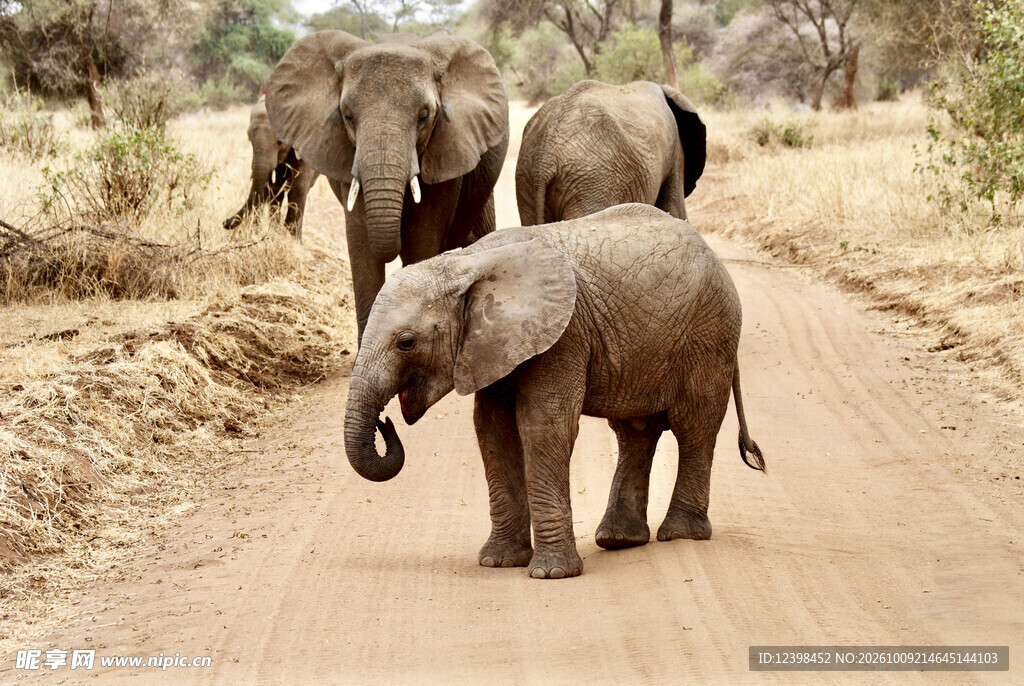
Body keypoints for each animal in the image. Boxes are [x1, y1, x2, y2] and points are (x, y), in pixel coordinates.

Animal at [222, 94, 319, 239]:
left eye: (280, 142)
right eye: (249, 139)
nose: (224, 222)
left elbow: (299, 187)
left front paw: (294, 241)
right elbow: (267, 187)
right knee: (276, 192)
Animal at [344, 204, 765, 579]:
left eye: (406, 342)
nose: (385, 422)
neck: (468, 262)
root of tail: (715, 256)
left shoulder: (564, 335)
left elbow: (543, 426)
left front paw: (551, 573)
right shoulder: (490, 346)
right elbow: (493, 431)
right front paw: (498, 562)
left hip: (710, 333)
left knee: (694, 427)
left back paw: (680, 534)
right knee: (635, 432)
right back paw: (618, 539)